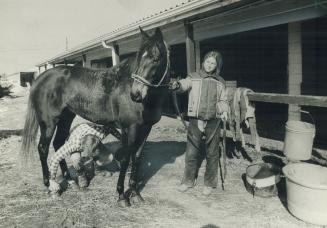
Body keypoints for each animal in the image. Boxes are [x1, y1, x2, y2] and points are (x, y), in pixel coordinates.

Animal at [20, 27, 170, 206]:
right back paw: (49, 184)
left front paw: (135, 193)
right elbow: (126, 158)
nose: (135, 94)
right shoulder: (130, 128)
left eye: (156, 58)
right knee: (43, 148)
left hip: (66, 118)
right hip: (49, 123)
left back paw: (70, 180)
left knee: (58, 144)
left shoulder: (146, 128)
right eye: (139, 57)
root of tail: (39, 79)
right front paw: (121, 195)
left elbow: (137, 157)